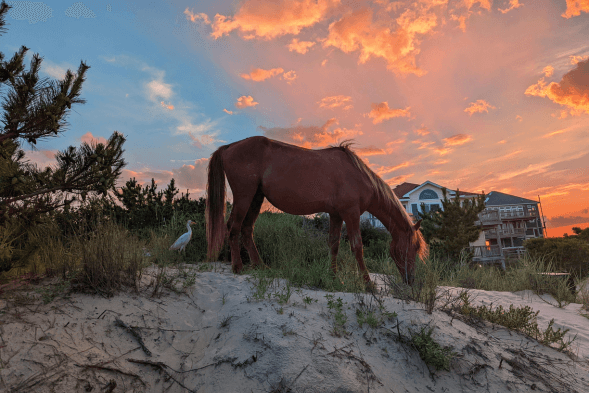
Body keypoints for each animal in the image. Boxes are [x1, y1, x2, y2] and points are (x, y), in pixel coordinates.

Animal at [207, 136, 428, 286]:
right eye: (414, 247)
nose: (411, 279)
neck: (359, 175)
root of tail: (229, 147)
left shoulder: (336, 215)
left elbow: (334, 245)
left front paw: (334, 276)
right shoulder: (351, 214)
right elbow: (357, 247)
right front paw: (367, 284)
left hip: (256, 198)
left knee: (247, 229)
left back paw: (260, 265)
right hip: (245, 196)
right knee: (233, 227)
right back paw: (237, 267)